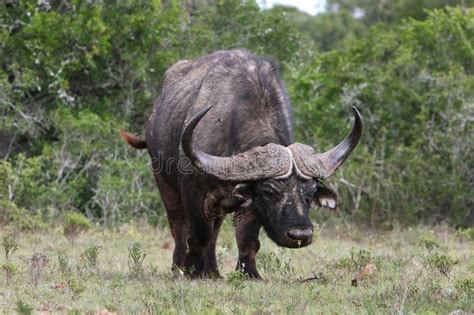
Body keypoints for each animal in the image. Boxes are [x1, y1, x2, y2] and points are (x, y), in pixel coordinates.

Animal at [120, 49, 362, 278]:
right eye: (269, 191)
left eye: (311, 192)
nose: (300, 235)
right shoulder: (193, 193)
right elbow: (198, 235)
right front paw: (191, 271)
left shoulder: (248, 203)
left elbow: (247, 240)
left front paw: (249, 273)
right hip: (165, 184)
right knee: (179, 226)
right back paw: (179, 266)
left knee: (215, 230)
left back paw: (213, 272)